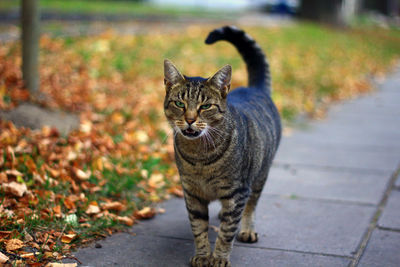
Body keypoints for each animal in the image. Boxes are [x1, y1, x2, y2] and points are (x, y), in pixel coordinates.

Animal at [162, 25, 282, 267]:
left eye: (205, 106)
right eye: (180, 103)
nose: (190, 119)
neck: (199, 157)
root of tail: (255, 88)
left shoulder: (237, 191)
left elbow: (227, 232)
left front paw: (218, 258)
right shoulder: (192, 192)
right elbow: (198, 228)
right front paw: (202, 255)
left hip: (259, 175)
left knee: (251, 205)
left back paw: (247, 229)